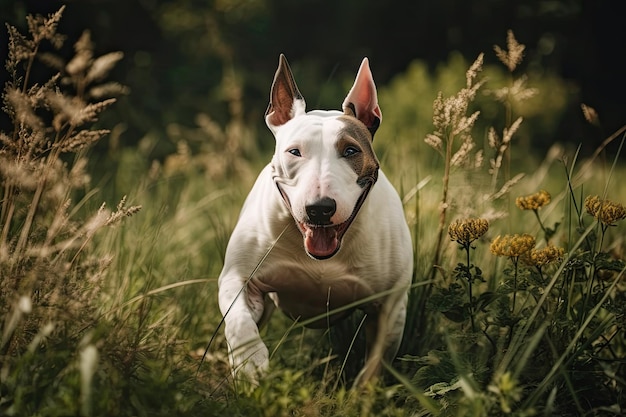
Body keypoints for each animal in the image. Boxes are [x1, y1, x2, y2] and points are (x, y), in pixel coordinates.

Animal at [217, 54, 412, 384]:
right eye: (294, 151)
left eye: (351, 150)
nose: (319, 209)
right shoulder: (238, 278)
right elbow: (239, 320)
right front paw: (250, 362)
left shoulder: (392, 306)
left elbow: (375, 364)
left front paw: (364, 392)